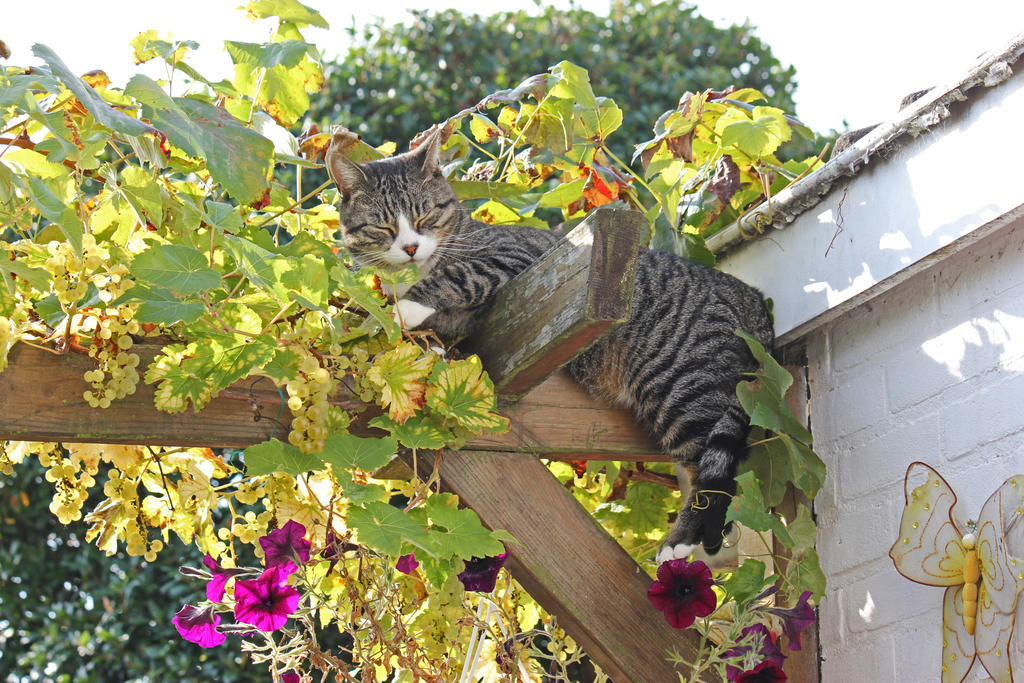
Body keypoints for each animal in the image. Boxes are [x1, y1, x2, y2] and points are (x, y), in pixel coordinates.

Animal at [329, 129, 774, 565]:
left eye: (424, 217)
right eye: (383, 228)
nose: (410, 248)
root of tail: (751, 297)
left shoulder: (512, 254)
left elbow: (456, 276)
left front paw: (400, 309)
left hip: (679, 383)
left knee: (712, 470)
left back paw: (681, 539)